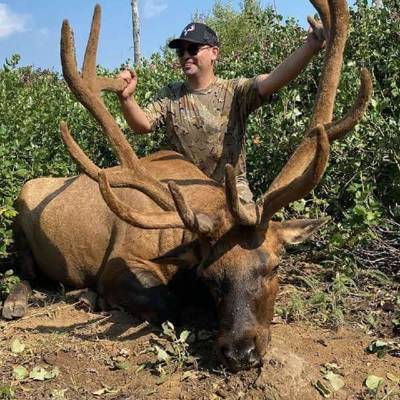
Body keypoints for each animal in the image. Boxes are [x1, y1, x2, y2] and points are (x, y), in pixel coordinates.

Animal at [2, 0, 372, 372]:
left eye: (275, 266)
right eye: (210, 276)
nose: (240, 351)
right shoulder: (118, 262)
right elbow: (168, 303)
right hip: (19, 223)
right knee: (24, 272)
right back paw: (30, 301)